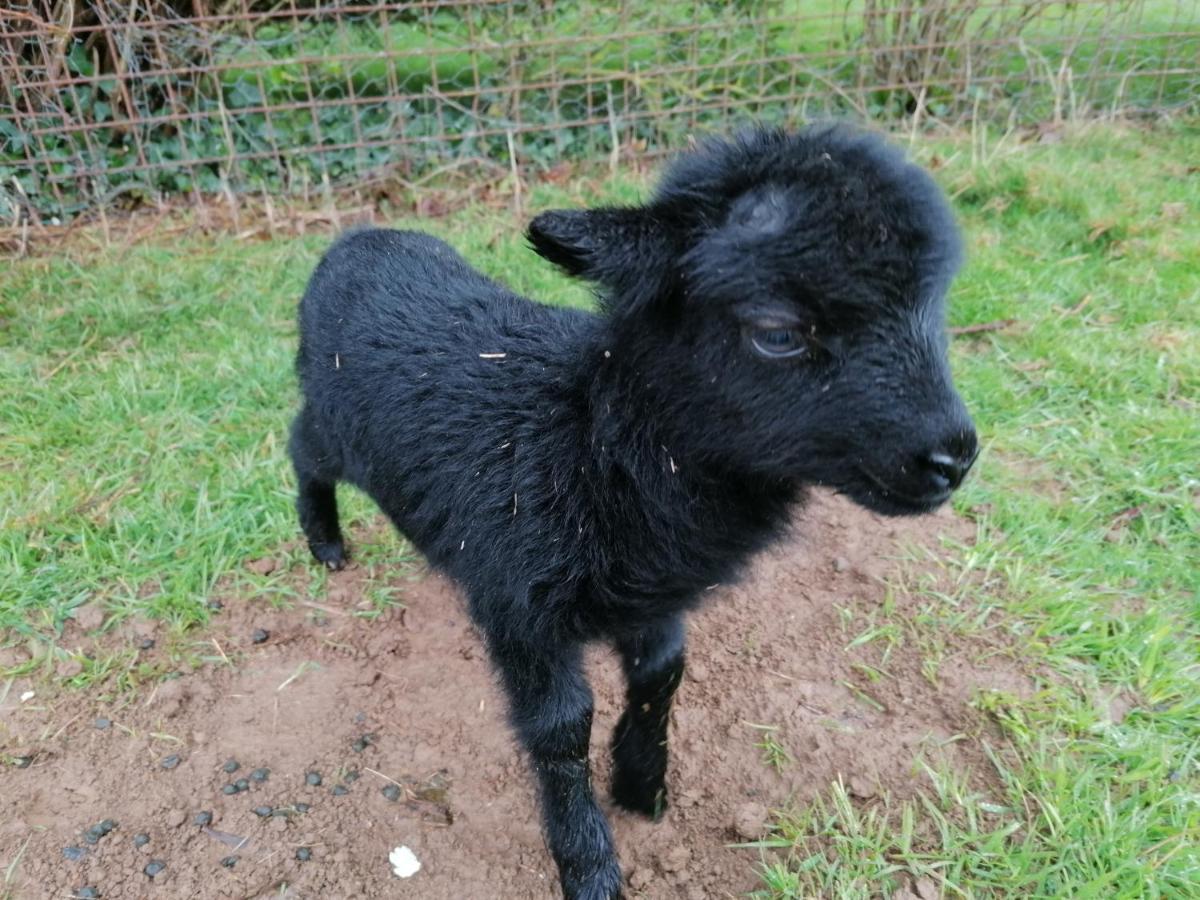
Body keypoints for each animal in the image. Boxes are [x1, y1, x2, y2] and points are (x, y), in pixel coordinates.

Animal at [288, 123, 974, 897]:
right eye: (777, 331)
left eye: (934, 307)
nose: (952, 459)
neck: (588, 442)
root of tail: (358, 238)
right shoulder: (518, 604)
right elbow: (561, 728)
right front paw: (588, 863)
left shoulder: (650, 586)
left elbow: (662, 674)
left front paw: (643, 785)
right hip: (332, 423)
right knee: (300, 446)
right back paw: (325, 542)